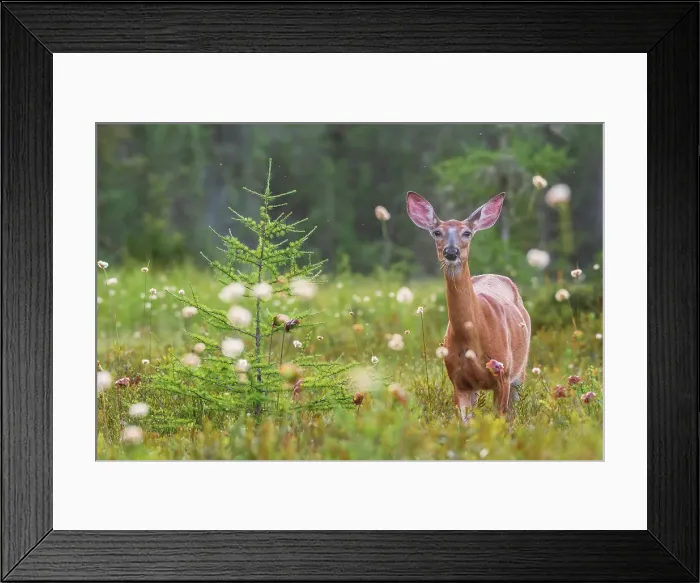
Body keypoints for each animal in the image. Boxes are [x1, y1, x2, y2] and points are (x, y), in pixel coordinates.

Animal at [406, 190, 531, 424]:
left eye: (467, 233)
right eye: (437, 232)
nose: (451, 252)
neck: (475, 335)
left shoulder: (503, 375)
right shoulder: (458, 381)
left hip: (519, 371)